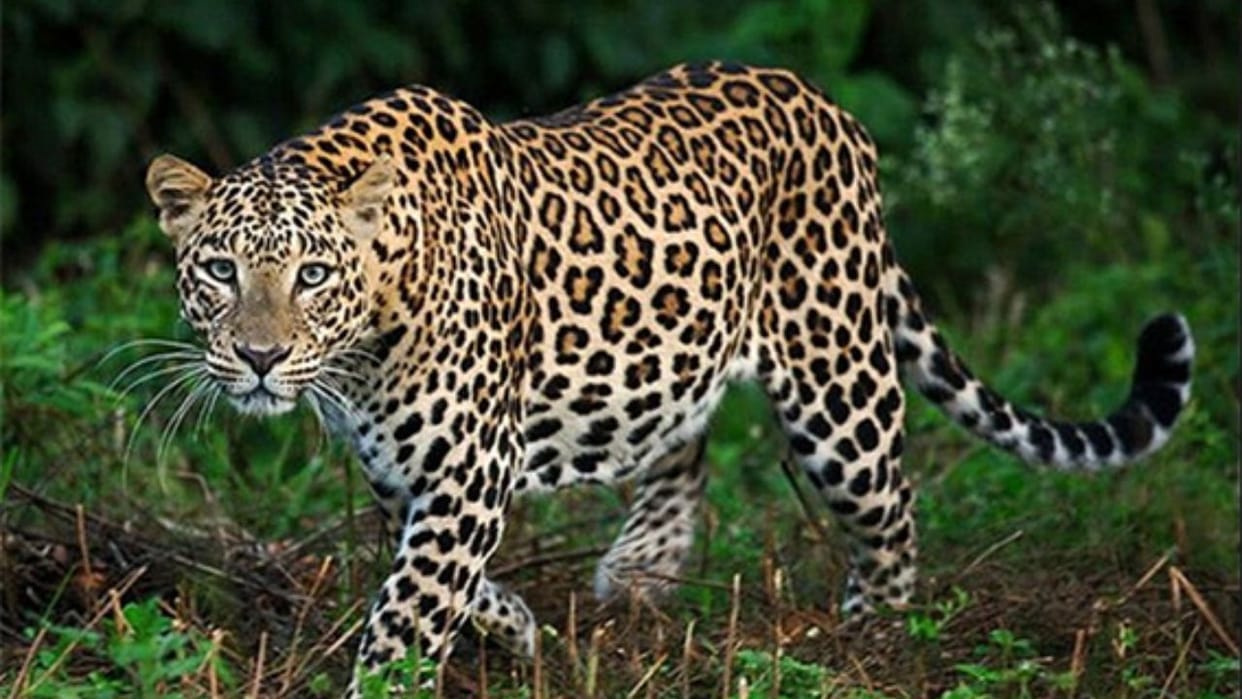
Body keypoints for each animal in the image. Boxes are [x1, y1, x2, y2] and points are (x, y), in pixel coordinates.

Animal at [142, 61, 1194, 692]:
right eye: (220, 270)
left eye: (313, 275)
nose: (259, 357)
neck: (364, 338)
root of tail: (828, 107)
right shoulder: (407, 471)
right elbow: (440, 579)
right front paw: (517, 628)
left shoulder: (466, 469)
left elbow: (409, 606)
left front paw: (395, 674)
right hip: (669, 354)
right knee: (683, 444)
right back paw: (642, 568)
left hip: (838, 385)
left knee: (893, 508)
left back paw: (877, 638)